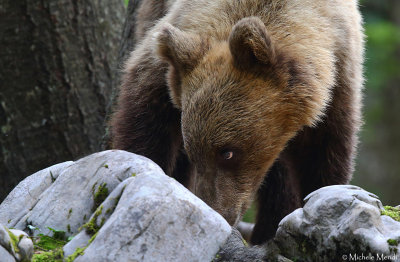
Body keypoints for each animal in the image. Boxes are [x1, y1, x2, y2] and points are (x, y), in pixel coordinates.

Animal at [109, 0, 362, 246]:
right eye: (193, 151)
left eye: (228, 153)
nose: (218, 212)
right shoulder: (170, 58)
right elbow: (146, 119)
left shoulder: (339, 78)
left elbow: (324, 154)